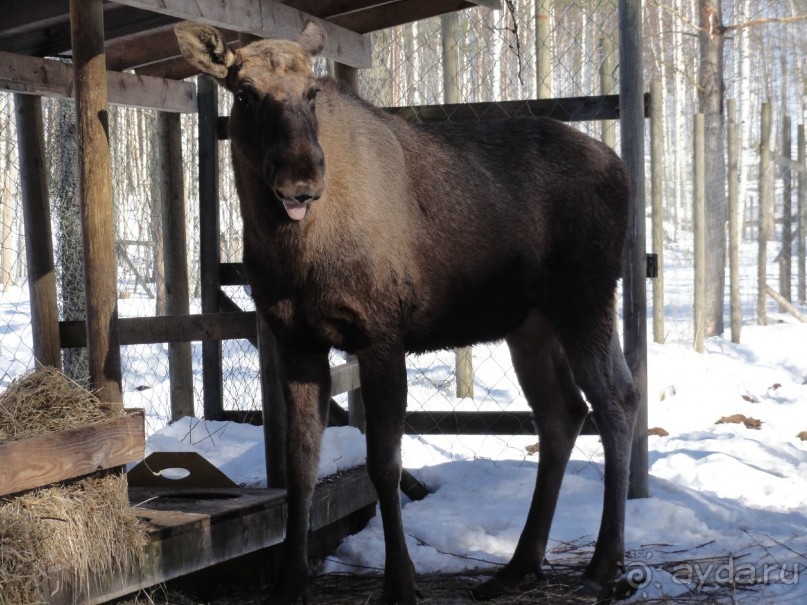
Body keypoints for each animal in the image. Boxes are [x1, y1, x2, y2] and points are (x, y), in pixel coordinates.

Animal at [175, 20, 636, 604]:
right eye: (244, 94)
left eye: (312, 92)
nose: (301, 179)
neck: (292, 250)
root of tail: (622, 168)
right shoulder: (295, 340)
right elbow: (300, 468)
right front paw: (290, 581)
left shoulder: (381, 333)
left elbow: (384, 463)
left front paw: (401, 581)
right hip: (529, 323)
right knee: (564, 412)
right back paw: (518, 565)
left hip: (586, 297)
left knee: (616, 401)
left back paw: (602, 563)